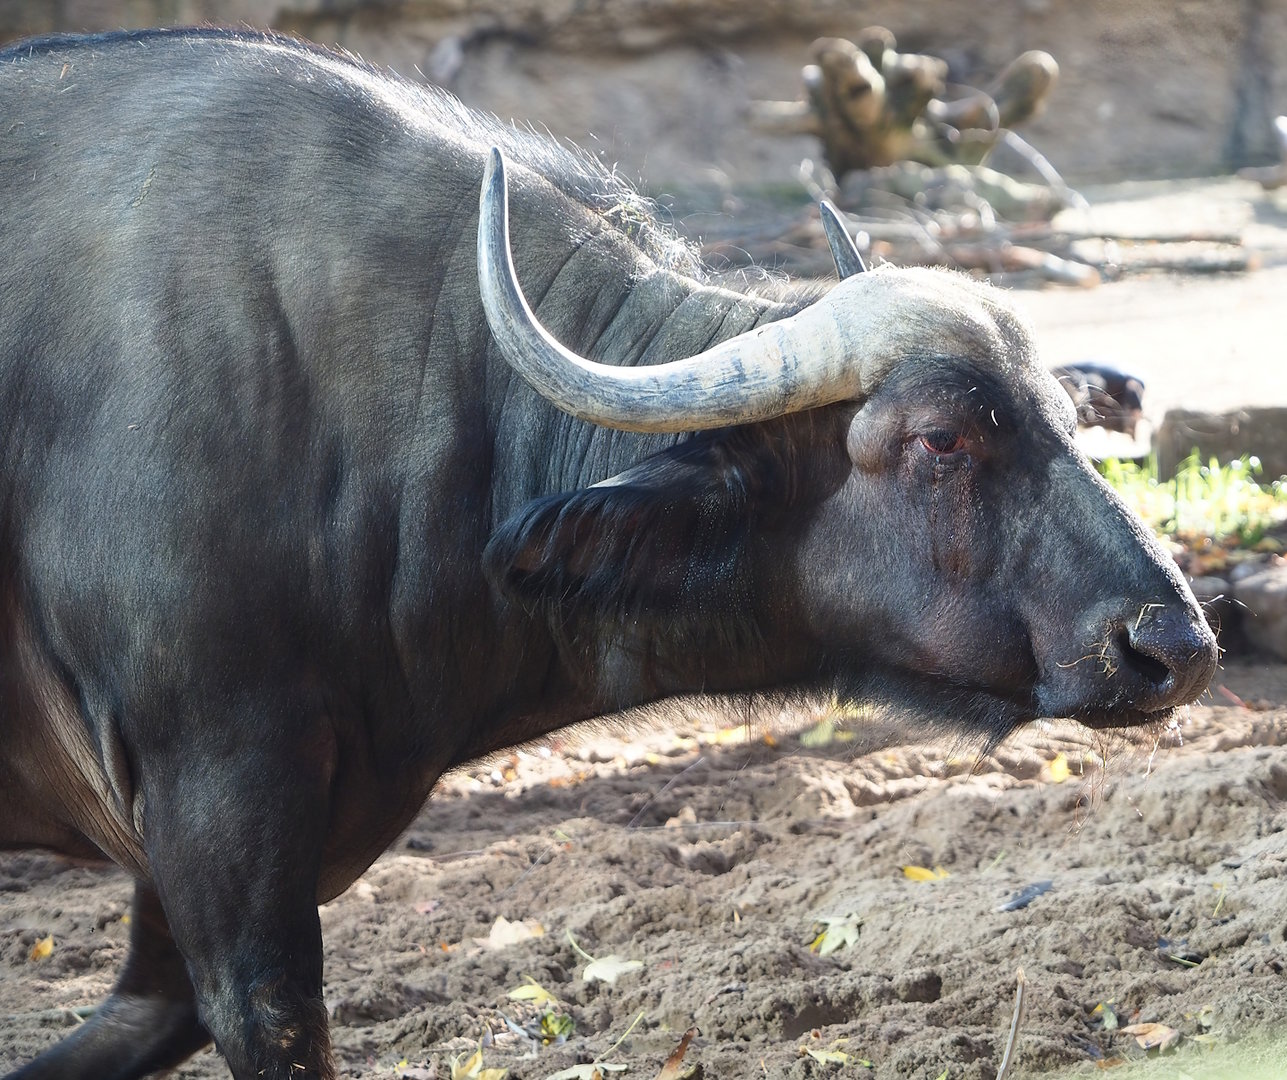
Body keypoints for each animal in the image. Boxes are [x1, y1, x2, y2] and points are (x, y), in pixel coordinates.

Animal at [0, 27, 1216, 1080]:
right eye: (942, 437)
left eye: (1064, 412)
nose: (1172, 644)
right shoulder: (219, 782)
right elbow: (267, 1018)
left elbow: (148, 1015)